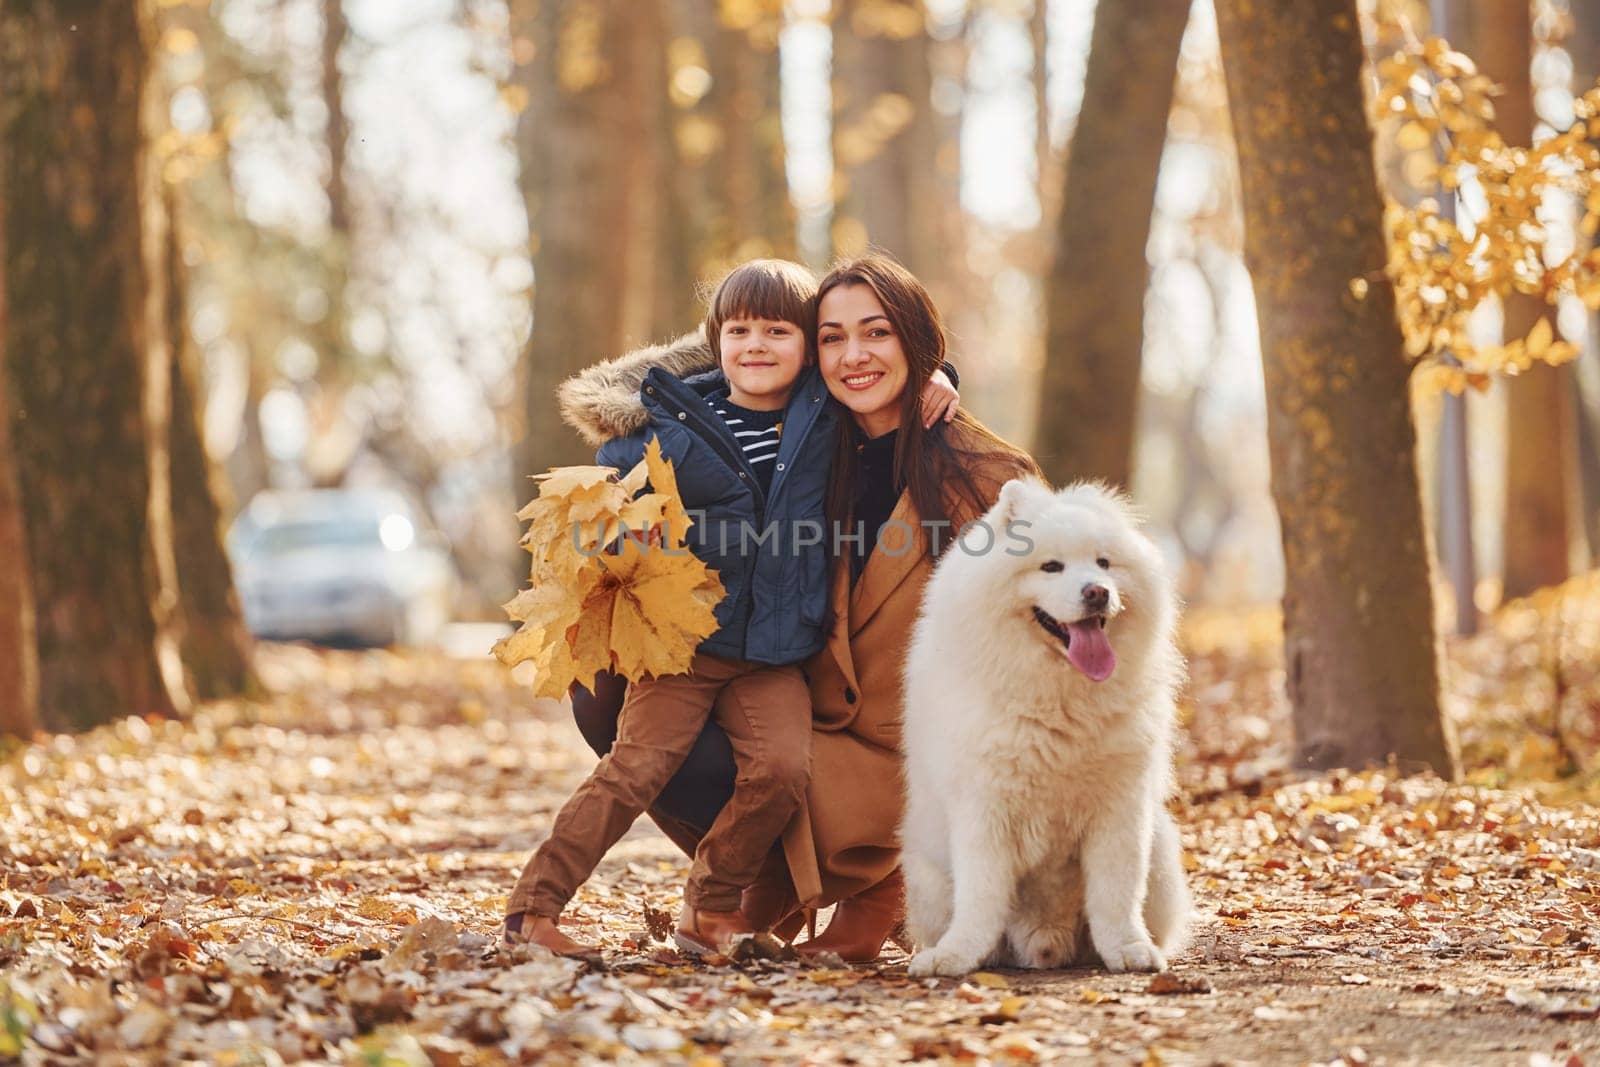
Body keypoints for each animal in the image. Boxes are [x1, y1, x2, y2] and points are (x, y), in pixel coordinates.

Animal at [902, 483, 1190, 979]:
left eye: (1104, 563)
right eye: (1051, 566)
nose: (1097, 592)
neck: (1059, 701)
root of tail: (1044, 938)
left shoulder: (1121, 809)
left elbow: (1115, 893)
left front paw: (1128, 949)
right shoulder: (983, 809)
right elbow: (980, 896)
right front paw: (956, 956)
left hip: (1162, 853)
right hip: (927, 876)